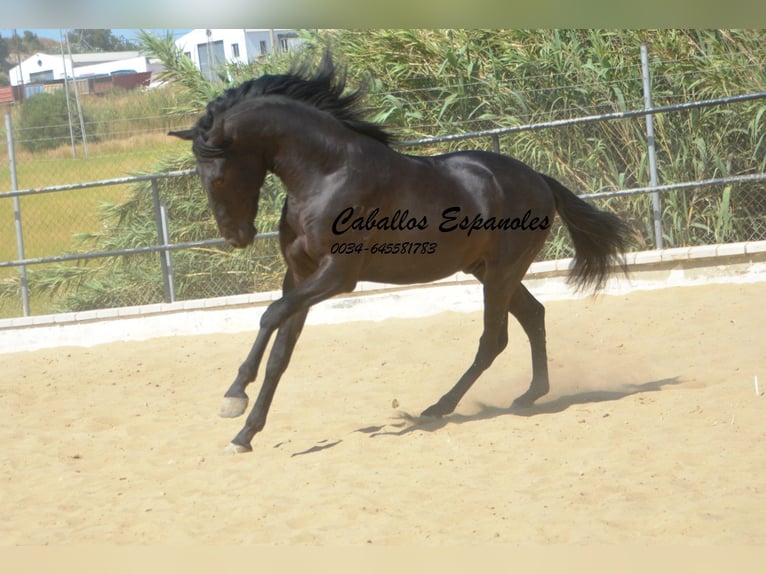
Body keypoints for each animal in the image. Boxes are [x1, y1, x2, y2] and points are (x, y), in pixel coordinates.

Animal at [170, 54, 632, 454]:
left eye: (218, 174)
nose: (236, 238)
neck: (327, 174)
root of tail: (539, 179)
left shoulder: (337, 276)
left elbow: (269, 315)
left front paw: (233, 396)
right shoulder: (299, 276)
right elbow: (281, 353)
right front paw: (245, 434)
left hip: (502, 273)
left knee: (494, 338)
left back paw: (441, 407)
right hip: (488, 272)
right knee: (533, 316)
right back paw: (529, 394)